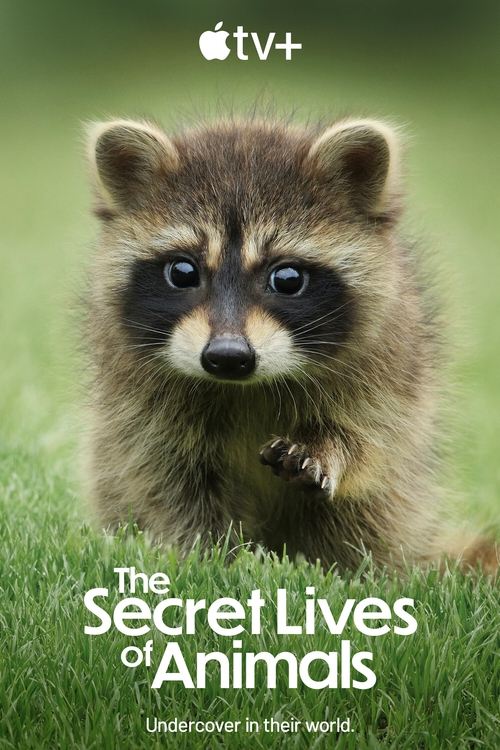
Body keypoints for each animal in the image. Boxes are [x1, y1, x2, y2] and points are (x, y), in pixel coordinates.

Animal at [83, 115, 495, 573]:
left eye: (287, 278)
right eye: (183, 272)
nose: (228, 357)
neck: (245, 388)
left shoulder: (390, 364)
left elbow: (372, 439)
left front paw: (330, 449)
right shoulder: (139, 402)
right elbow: (167, 479)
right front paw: (210, 556)